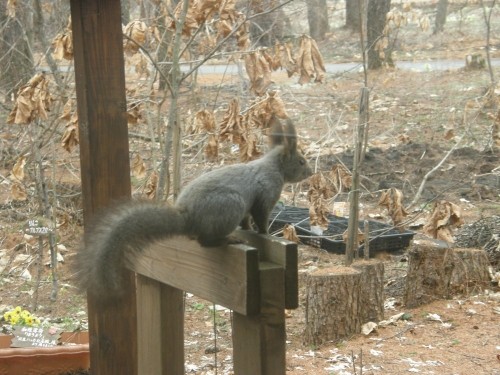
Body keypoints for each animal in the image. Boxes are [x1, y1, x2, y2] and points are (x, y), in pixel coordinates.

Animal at [73, 116, 310, 298]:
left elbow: (246, 220)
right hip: (231, 204)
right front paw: (265, 232)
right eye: (301, 161)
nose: (310, 173)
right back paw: (228, 239)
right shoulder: (265, 194)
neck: (273, 166)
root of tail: (188, 219)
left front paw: (249, 229)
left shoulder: (250, 205)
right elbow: (261, 217)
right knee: (206, 241)